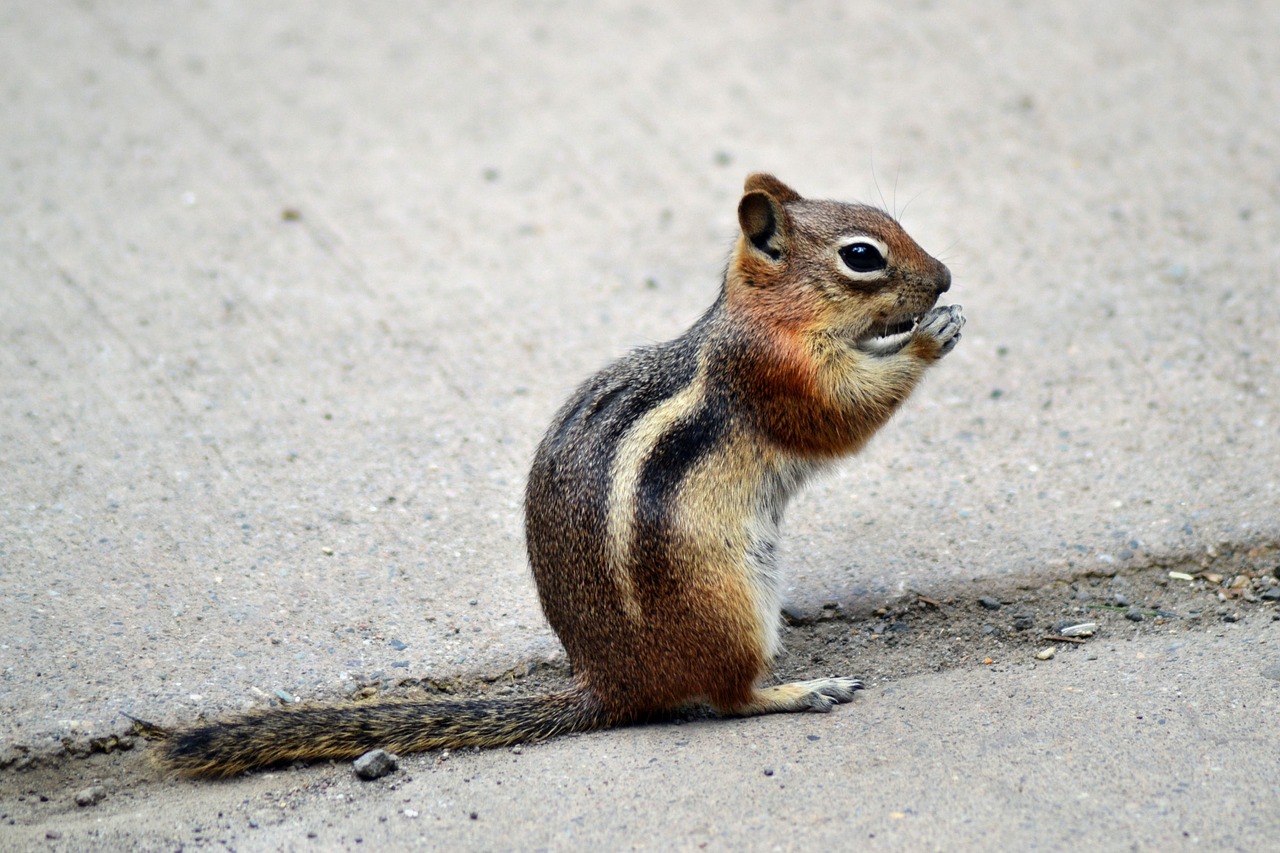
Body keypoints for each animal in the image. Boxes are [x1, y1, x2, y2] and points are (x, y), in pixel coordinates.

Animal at [154, 174, 962, 778]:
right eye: (862, 255)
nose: (946, 276)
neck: (763, 316)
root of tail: (610, 683)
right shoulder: (779, 376)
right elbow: (843, 413)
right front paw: (929, 337)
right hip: (729, 603)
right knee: (727, 698)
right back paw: (801, 689)